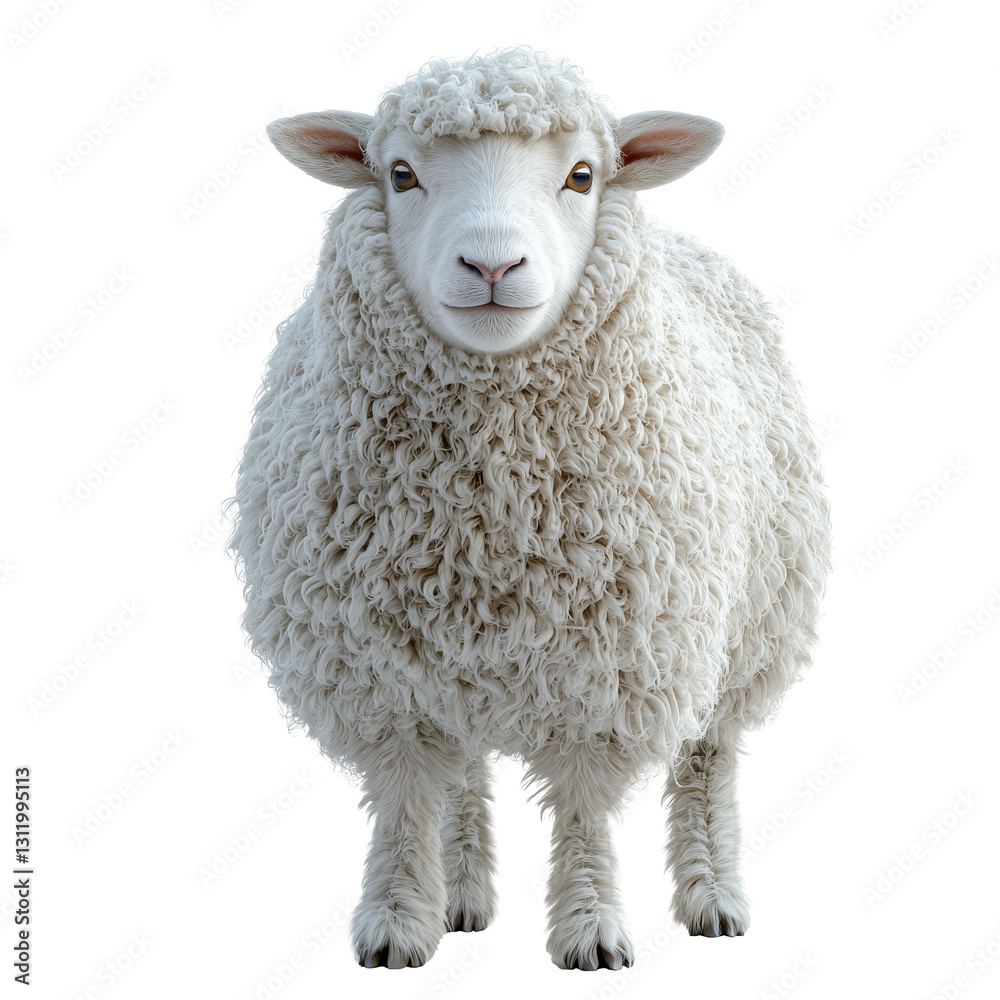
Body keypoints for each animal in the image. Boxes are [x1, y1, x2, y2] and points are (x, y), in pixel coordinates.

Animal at [227, 47, 832, 971]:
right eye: (399, 174)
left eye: (582, 175)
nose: (491, 267)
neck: (493, 508)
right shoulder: (380, 675)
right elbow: (407, 796)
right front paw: (398, 920)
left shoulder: (611, 666)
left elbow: (583, 807)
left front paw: (591, 927)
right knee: (463, 773)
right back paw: (463, 893)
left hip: (751, 626)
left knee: (707, 761)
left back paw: (713, 896)